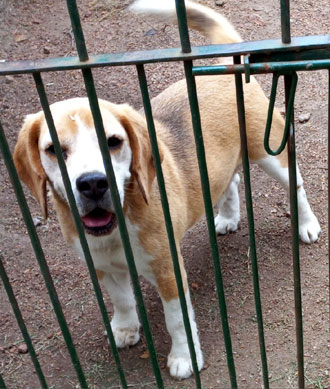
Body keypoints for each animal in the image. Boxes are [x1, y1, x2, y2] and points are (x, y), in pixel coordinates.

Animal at [14, 0, 320, 378]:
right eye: (53, 149)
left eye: (113, 142)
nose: (93, 183)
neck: (119, 225)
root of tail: (222, 65)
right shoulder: (102, 266)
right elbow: (122, 300)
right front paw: (125, 328)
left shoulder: (168, 271)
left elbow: (177, 320)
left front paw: (184, 358)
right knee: (230, 181)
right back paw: (228, 216)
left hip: (272, 153)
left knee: (298, 188)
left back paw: (307, 225)